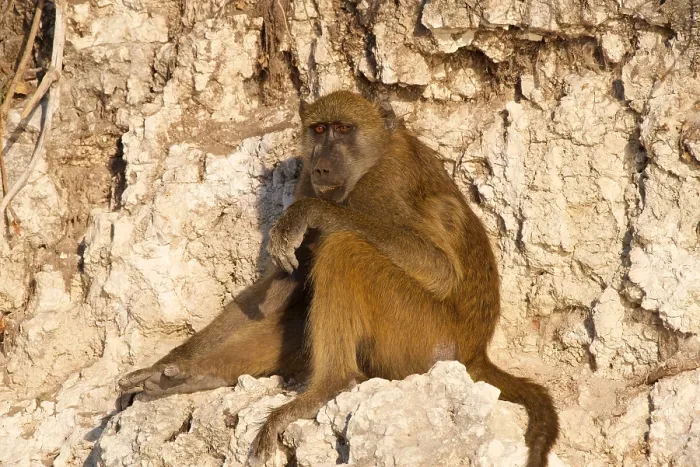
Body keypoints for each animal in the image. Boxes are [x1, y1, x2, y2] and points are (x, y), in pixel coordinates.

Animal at [118, 91, 559, 467]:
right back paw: (198, 375)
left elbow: (438, 268)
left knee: (345, 249)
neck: (375, 153)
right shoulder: (307, 182)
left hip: (426, 342)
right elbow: (282, 283)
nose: (322, 165)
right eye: (318, 130)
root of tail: (475, 351)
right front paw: (172, 363)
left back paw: (328, 386)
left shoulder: (382, 186)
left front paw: (311, 214)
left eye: (344, 129)